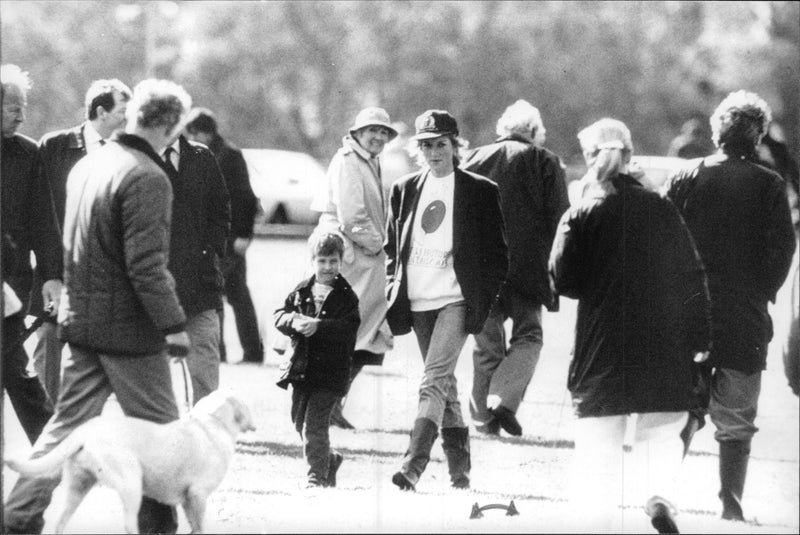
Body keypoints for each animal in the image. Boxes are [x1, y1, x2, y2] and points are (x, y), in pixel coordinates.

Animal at [4, 392, 255, 532]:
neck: (211, 424)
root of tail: (86, 429)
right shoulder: (197, 495)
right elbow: (200, 527)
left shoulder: (188, 500)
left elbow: (194, 527)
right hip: (132, 483)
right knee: (128, 524)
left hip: (78, 488)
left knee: (59, 523)